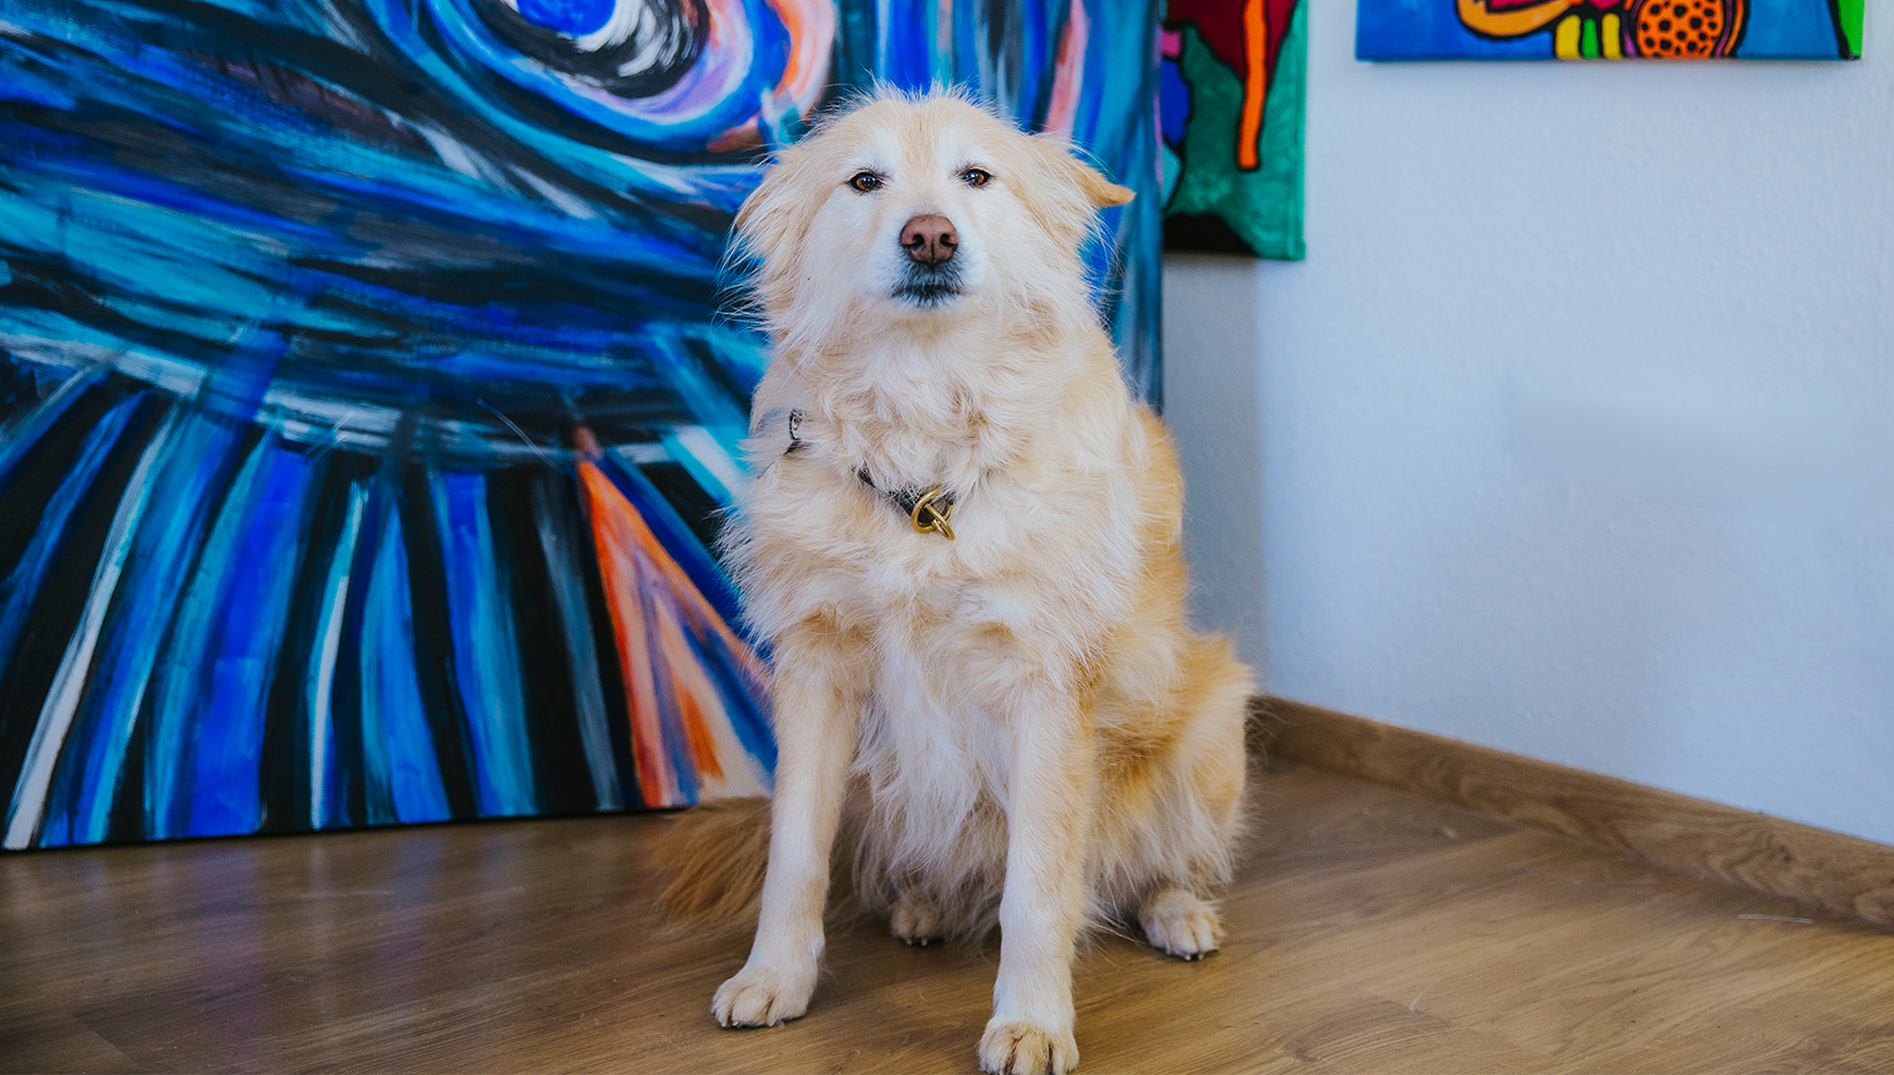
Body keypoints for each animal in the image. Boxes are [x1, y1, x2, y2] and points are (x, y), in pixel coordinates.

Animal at [661, 91, 1254, 1075]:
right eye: (864, 181)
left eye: (976, 176)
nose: (930, 236)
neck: (926, 427)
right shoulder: (817, 672)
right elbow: (795, 855)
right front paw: (775, 978)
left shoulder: (1045, 687)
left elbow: (1039, 884)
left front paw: (1032, 1020)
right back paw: (925, 904)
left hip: (1212, 727)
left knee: (1154, 864)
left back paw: (1177, 911)